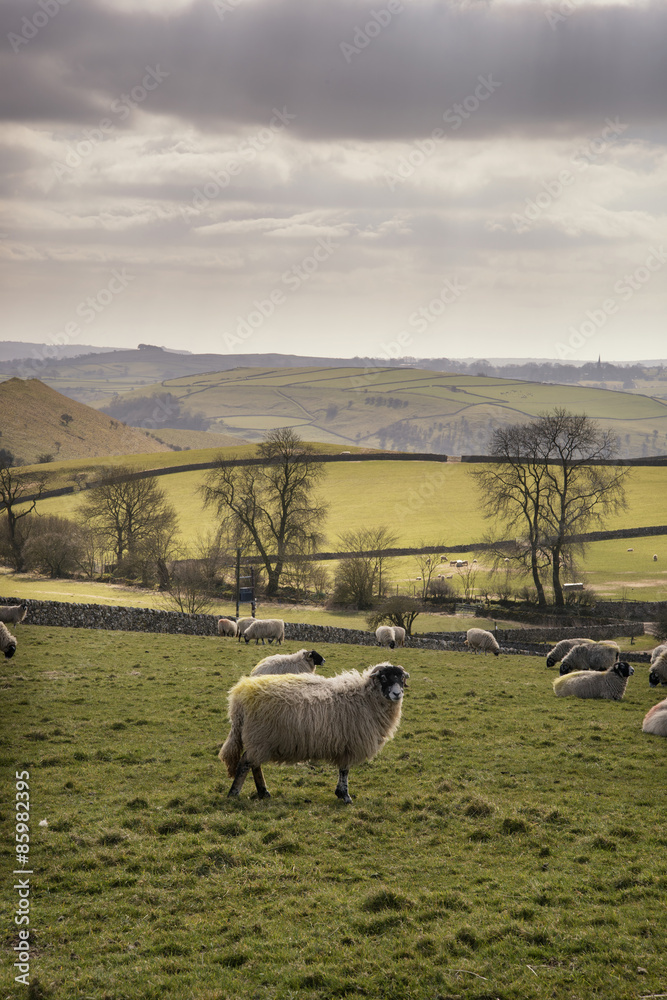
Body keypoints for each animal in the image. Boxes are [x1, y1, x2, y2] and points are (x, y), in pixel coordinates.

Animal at [220, 662, 409, 804]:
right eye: (383, 677)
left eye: (401, 678)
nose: (397, 694)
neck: (365, 698)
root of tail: (239, 697)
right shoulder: (350, 743)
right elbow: (345, 770)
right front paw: (345, 796)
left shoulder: (345, 743)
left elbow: (343, 770)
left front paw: (340, 793)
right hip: (259, 736)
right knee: (245, 763)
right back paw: (234, 793)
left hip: (259, 740)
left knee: (255, 764)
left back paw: (263, 792)